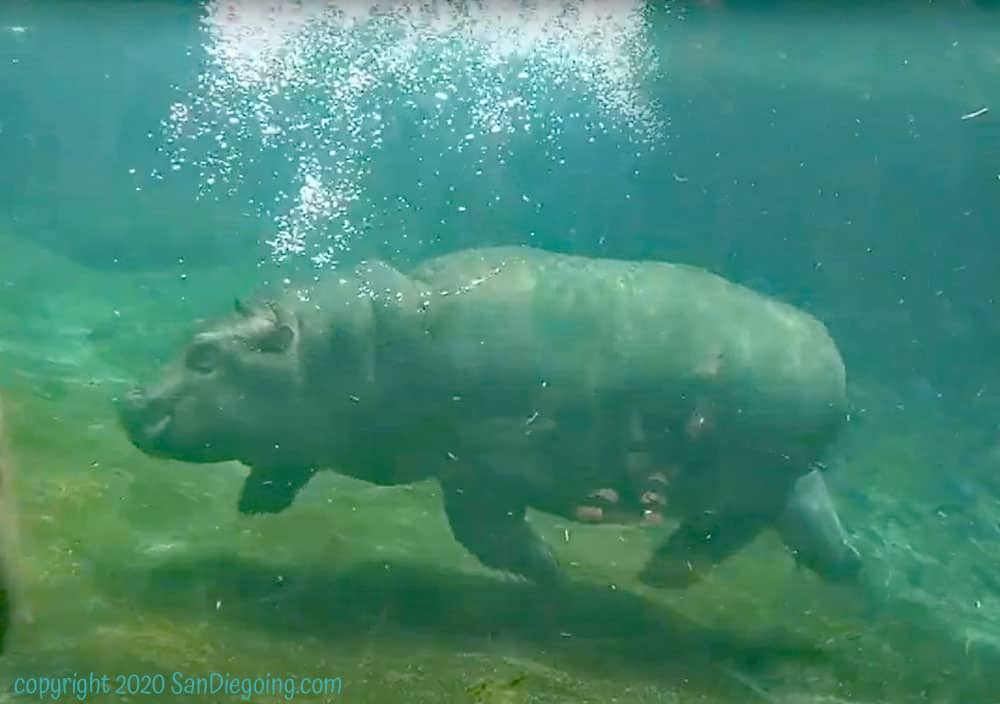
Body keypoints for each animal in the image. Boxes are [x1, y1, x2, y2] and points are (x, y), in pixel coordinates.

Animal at [117, 246, 860, 588]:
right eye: (192, 337)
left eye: (205, 356)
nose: (129, 401)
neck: (350, 343)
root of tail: (832, 354)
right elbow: (288, 453)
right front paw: (258, 499)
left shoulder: (479, 466)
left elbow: (486, 533)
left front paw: (550, 575)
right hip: (783, 474)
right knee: (807, 517)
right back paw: (846, 566)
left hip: (753, 470)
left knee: (732, 526)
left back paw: (661, 574)